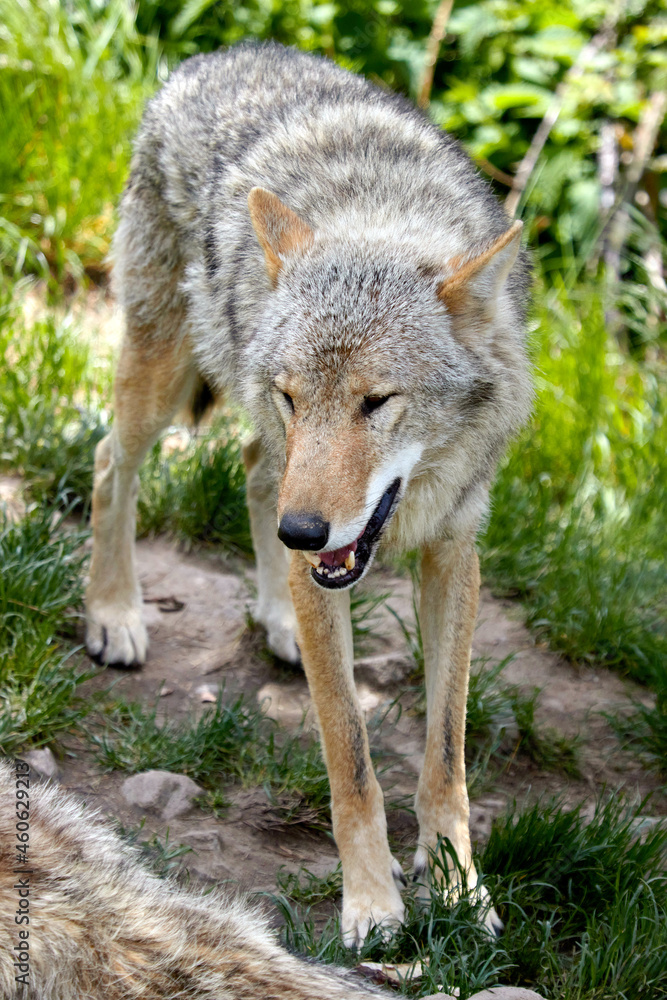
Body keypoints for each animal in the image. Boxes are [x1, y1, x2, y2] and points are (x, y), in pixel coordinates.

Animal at [84, 42, 532, 948]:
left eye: (376, 401)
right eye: (296, 393)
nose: (301, 533)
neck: (381, 222)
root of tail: (219, 54)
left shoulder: (454, 549)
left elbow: (446, 756)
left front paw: (459, 889)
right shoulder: (319, 532)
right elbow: (349, 754)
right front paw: (373, 905)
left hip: (261, 452)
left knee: (254, 467)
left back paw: (278, 620)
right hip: (162, 379)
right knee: (114, 460)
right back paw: (114, 613)